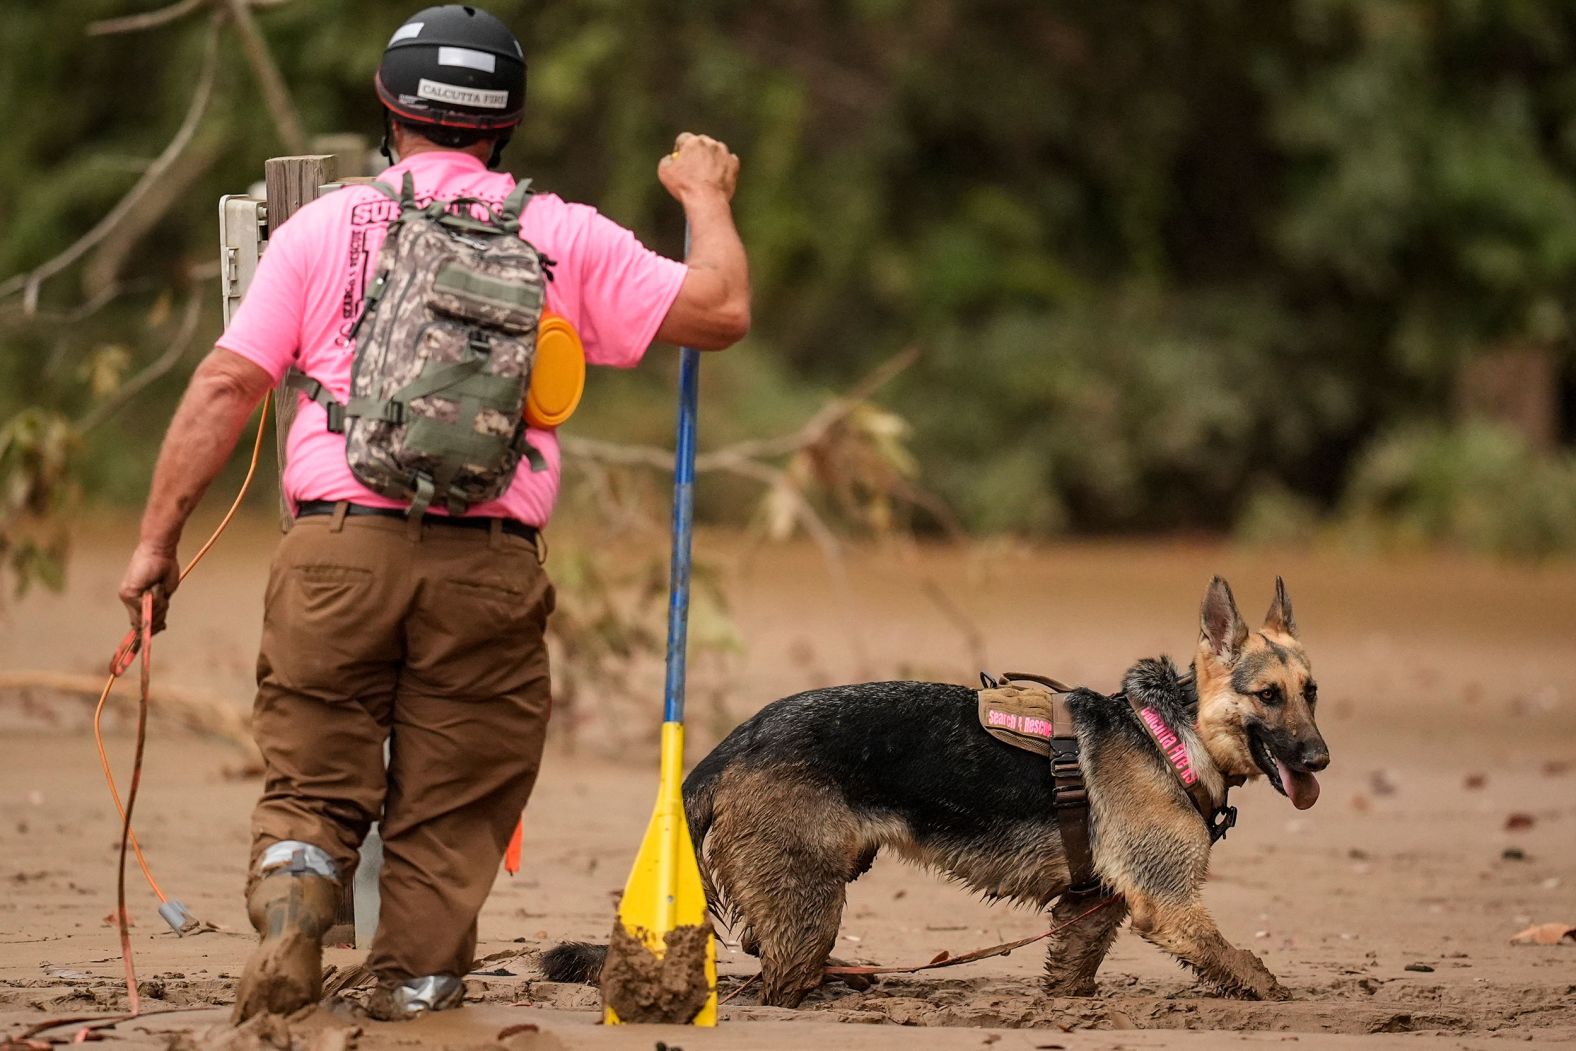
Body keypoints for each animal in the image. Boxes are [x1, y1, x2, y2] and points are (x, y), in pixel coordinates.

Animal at [548, 579, 1323, 1008]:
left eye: (1311, 692)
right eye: (1268, 696)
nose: (1321, 756)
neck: (1174, 732)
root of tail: (733, 742)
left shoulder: (1091, 907)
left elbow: (1072, 969)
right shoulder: (1169, 907)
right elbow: (1241, 961)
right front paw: (1277, 995)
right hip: (811, 902)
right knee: (774, 983)